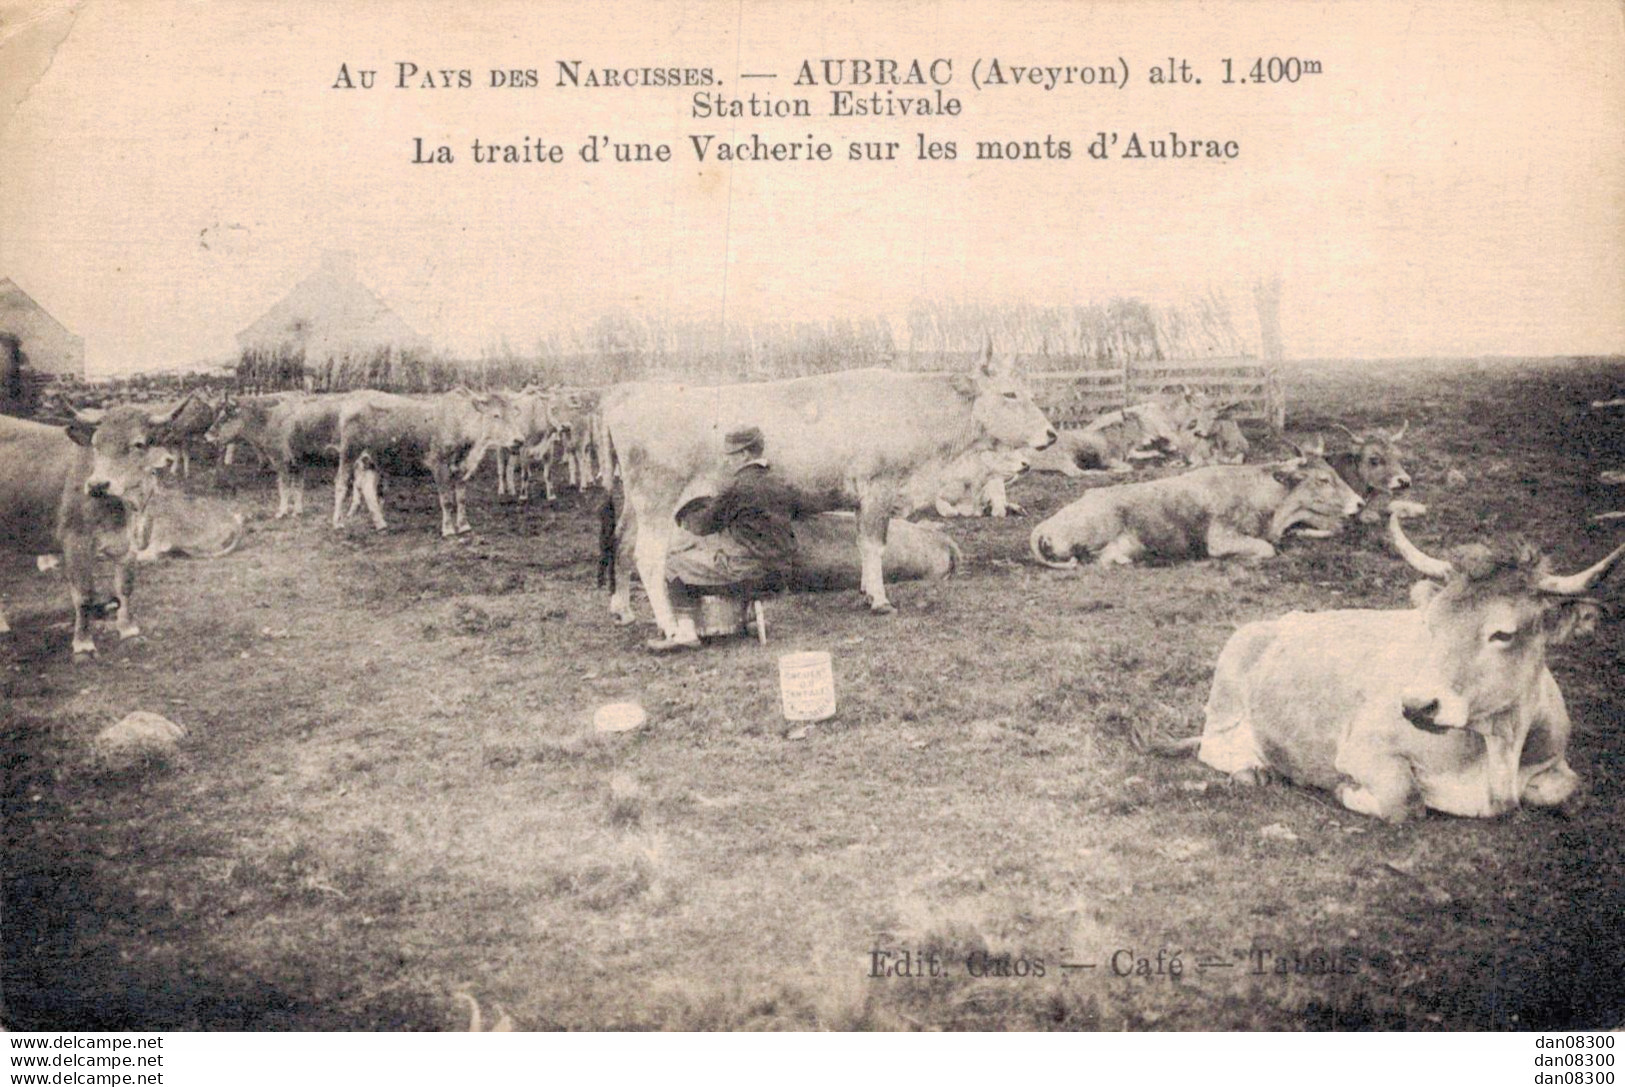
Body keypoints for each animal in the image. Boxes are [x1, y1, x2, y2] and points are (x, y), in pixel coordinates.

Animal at [0, 398, 184, 653]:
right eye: (96, 444)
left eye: (138, 444)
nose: (97, 485)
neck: (119, 510)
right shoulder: (75, 541)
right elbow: (85, 594)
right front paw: (83, 644)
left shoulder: (127, 543)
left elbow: (125, 586)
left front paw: (128, 630)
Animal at [604, 342, 1059, 630]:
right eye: (1010, 393)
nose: (1051, 434)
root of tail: (629, 395)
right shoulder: (878, 487)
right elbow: (874, 544)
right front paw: (880, 599)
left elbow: (863, 544)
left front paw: (867, 590)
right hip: (657, 500)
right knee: (647, 558)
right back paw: (668, 625)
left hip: (636, 503)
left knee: (621, 543)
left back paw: (622, 610)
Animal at [1176, 513, 1618, 818]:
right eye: (1431, 623)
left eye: (1502, 633)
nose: (1418, 706)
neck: (1498, 752)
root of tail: (1284, 619)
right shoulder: (1363, 750)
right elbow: (1405, 800)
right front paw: (1346, 791)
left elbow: (1572, 791)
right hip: (1229, 685)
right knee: (1214, 744)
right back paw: (1252, 768)